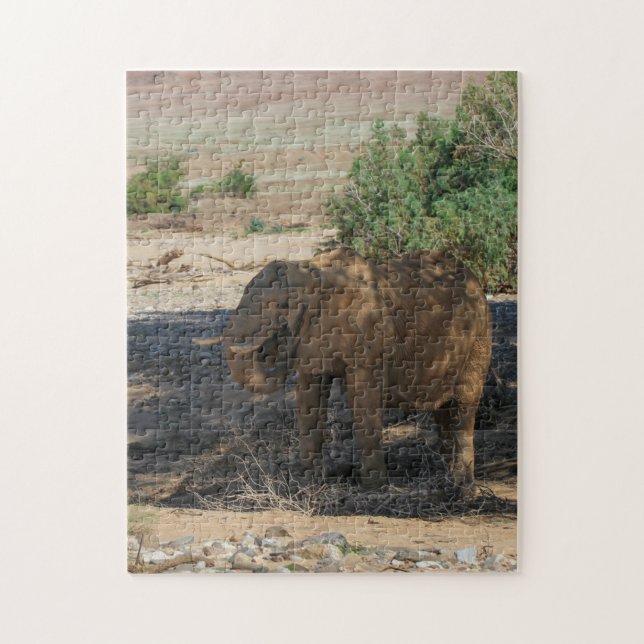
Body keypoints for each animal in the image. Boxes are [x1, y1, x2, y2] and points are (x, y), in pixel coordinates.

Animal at [223, 247, 491, 494]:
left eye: (281, 305)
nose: (269, 345)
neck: (311, 270)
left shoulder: (368, 335)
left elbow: (363, 400)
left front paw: (373, 488)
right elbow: (309, 400)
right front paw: (308, 483)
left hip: (480, 336)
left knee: (465, 403)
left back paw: (463, 487)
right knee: (443, 409)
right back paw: (445, 477)